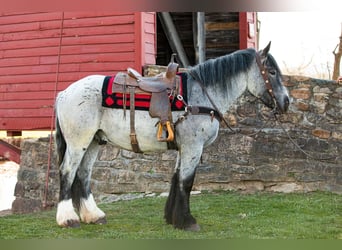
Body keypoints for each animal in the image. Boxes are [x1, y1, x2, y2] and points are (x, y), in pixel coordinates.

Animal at [54, 42, 288, 230]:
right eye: (272, 72)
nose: (287, 102)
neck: (199, 95)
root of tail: (64, 93)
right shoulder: (193, 147)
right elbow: (187, 182)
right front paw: (188, 222)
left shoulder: (183, 148)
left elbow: (176, 179)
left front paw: (172, 219)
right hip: (78, 143)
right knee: (67, 172)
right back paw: (68, 219)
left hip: (94, 142)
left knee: (83, 174)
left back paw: (93, 216)